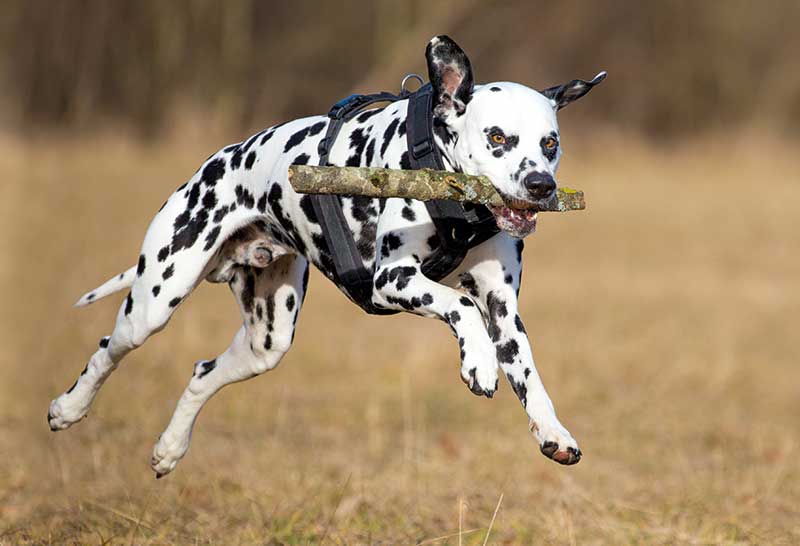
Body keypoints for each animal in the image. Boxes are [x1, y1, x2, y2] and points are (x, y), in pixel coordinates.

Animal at [48, 35, 608, 476]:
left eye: (550, 143)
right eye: (497, 138)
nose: (541, 186)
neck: (459, 208)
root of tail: (217, 161)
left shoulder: (504, 309)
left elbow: (529, 373)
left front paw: (553, 432)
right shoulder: (393, 280)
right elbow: (460, 306)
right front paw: (479, 364)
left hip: (267, 339)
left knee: (203, 373)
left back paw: (169, 449)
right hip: (155, 300)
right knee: (108, 348)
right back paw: (68, 407)